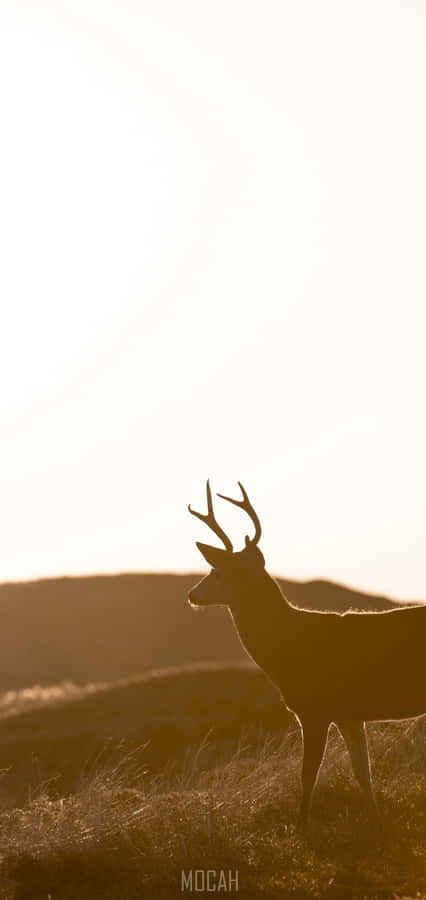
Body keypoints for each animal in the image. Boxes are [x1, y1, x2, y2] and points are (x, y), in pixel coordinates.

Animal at [188, 481, 426, 827]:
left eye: (219, 571)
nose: (192, 594)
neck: (291, 643)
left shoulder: (315, 710)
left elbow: (307, 774)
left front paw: (302, 826)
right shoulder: (349, 714)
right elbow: (363, 772)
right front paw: (377, 822)